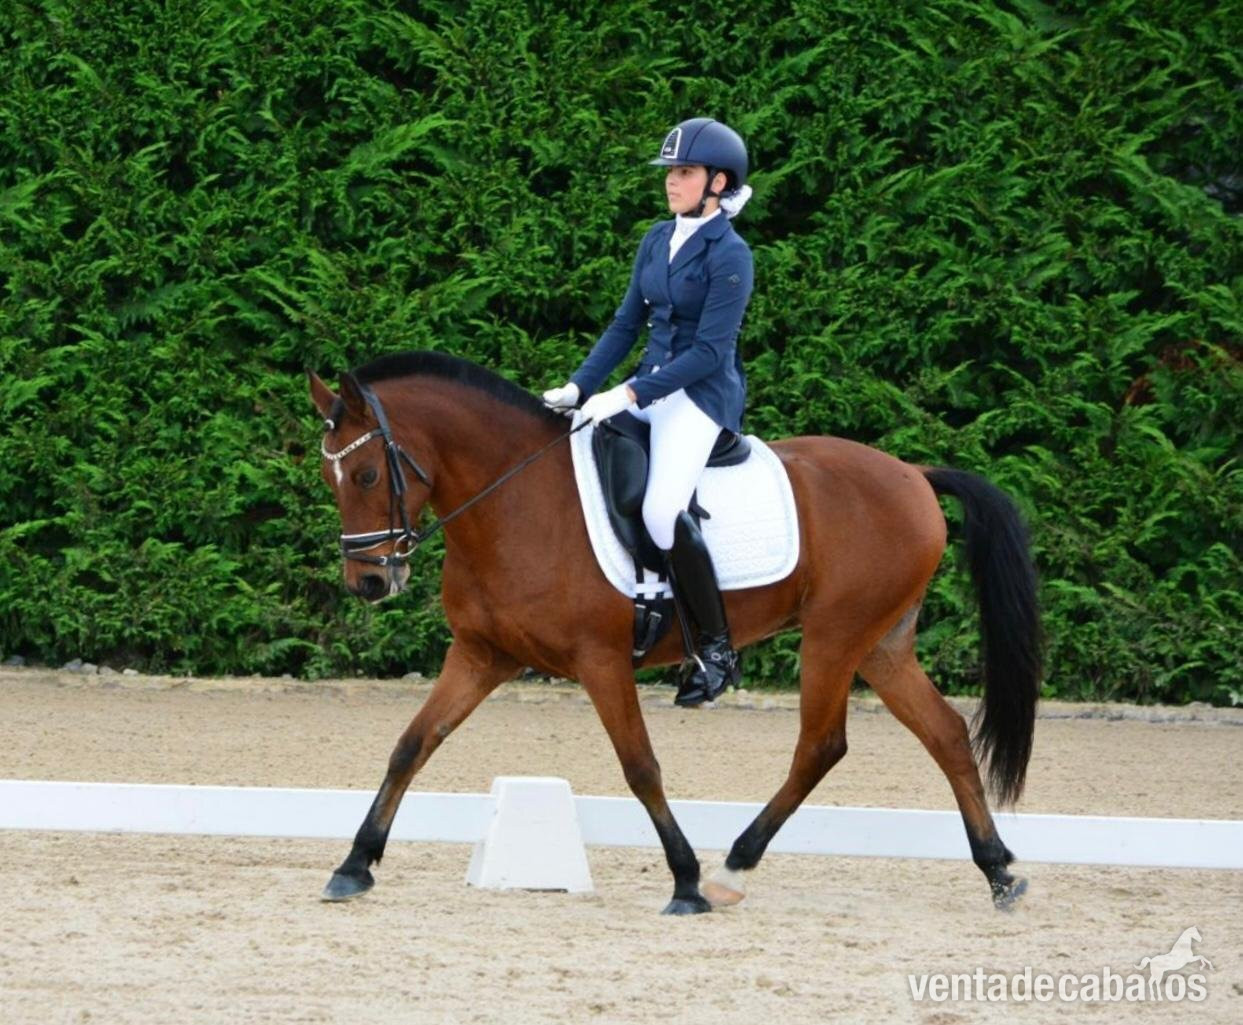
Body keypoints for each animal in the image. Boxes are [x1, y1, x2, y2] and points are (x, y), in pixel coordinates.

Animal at [307, 350, 1042, 914]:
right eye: (328, 477)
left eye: (367, 473)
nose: (368, 582)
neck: (514, 502)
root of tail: (913, 473)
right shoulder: (481, 655)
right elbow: (411, 745)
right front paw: (354, 864)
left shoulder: (601, 659)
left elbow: (640, 766)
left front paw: (685, 879)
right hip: (882, 644)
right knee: (944, 732)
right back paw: (998, 871)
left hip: (835, 635)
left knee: (820, 746)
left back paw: (730, 869)